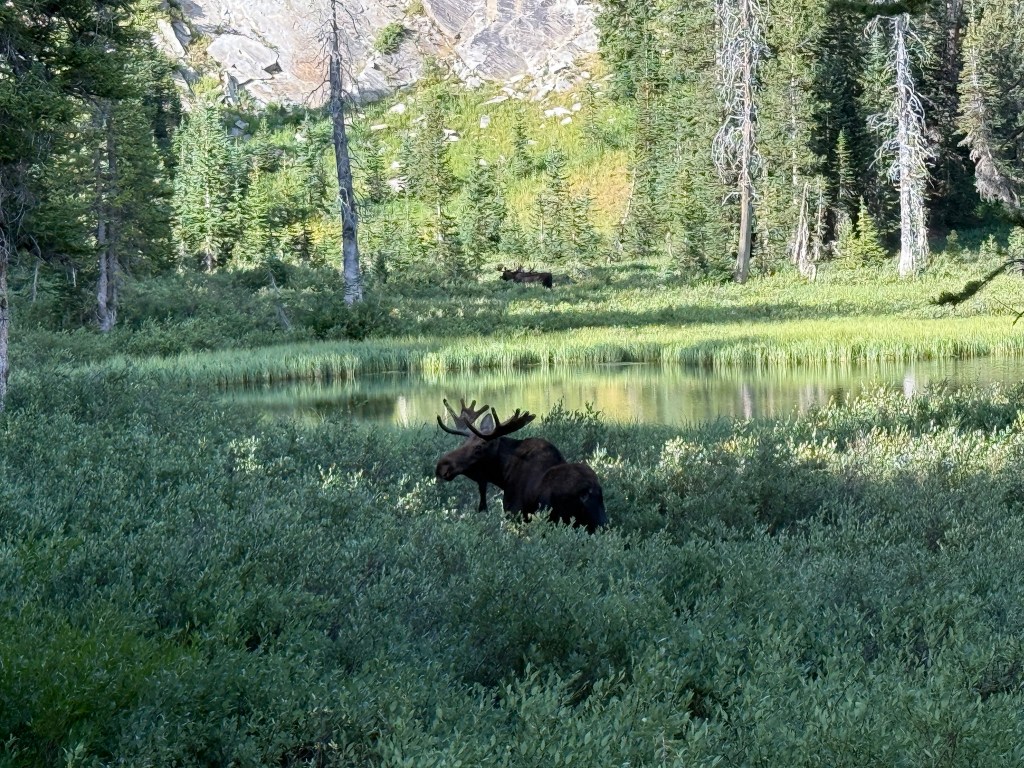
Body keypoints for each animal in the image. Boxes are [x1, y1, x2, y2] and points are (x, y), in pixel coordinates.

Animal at [435, 399, 607, 532]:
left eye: (479, 447)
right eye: (464, 443)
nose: (441, 466)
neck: (503, 475)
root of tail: (589, 491)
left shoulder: (514, 513)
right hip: (600, 522)